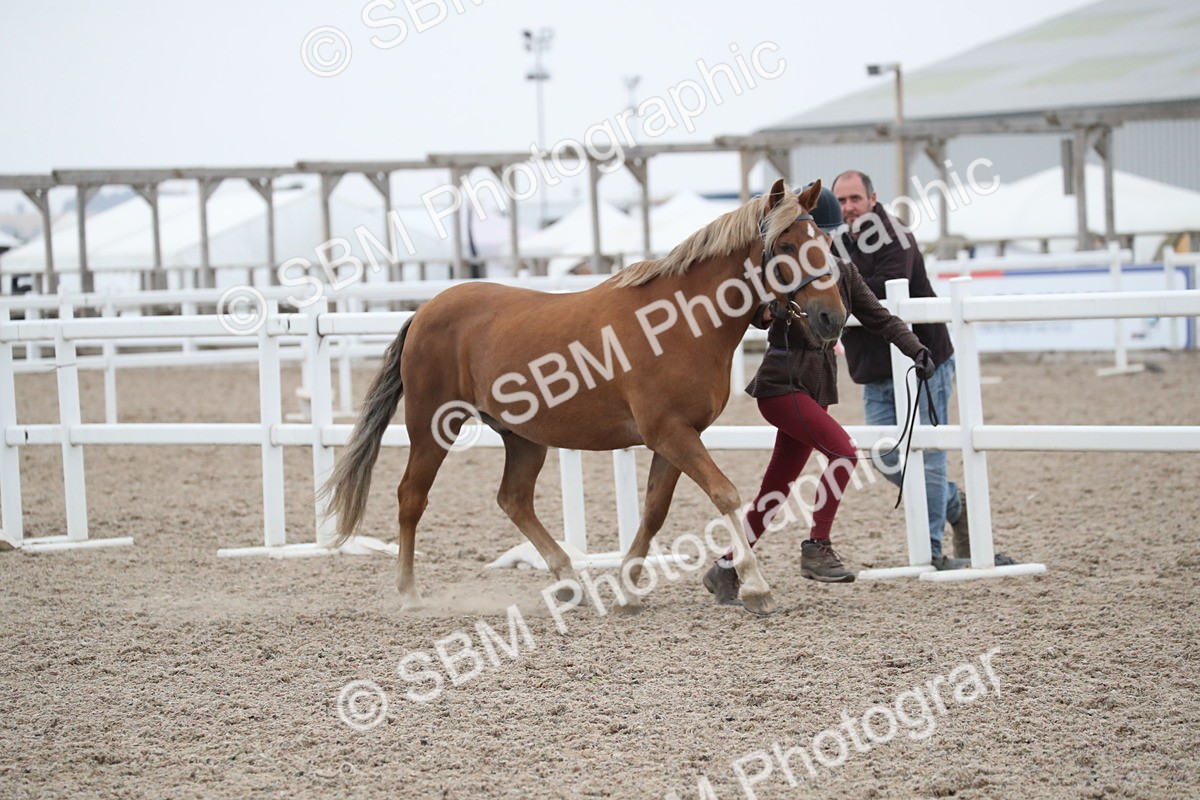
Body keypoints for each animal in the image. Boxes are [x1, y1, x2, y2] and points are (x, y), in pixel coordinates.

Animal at [319, 179, 847, 615]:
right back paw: (409, 593)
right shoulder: (672, 433)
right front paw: (755, 586)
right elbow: (725, 493)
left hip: (523, 437)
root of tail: (426, 309)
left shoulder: (676, 438)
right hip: (433, 426)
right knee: (412, 497)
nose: (833, 319)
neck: (680, 322)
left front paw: (629, 589)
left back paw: (568, 579)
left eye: (825, 245)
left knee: (513, 500)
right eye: (785, 245)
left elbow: (654, 512)